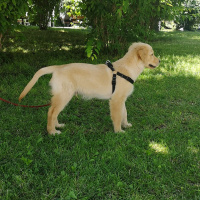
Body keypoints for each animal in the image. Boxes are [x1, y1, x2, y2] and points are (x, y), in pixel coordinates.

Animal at [18, 42, 159, 135]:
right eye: (152, 54)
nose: (160, 61)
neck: (127, 68)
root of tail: (58, 67)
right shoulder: (116, 100)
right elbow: (118, 116)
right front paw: (118, 131)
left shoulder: (121, 99)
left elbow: (124, 113)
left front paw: (126, 125)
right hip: (64, 95)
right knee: (51, 112)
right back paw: (52, 131)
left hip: (62, 96)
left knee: (53, 111)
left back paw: (58, 125)